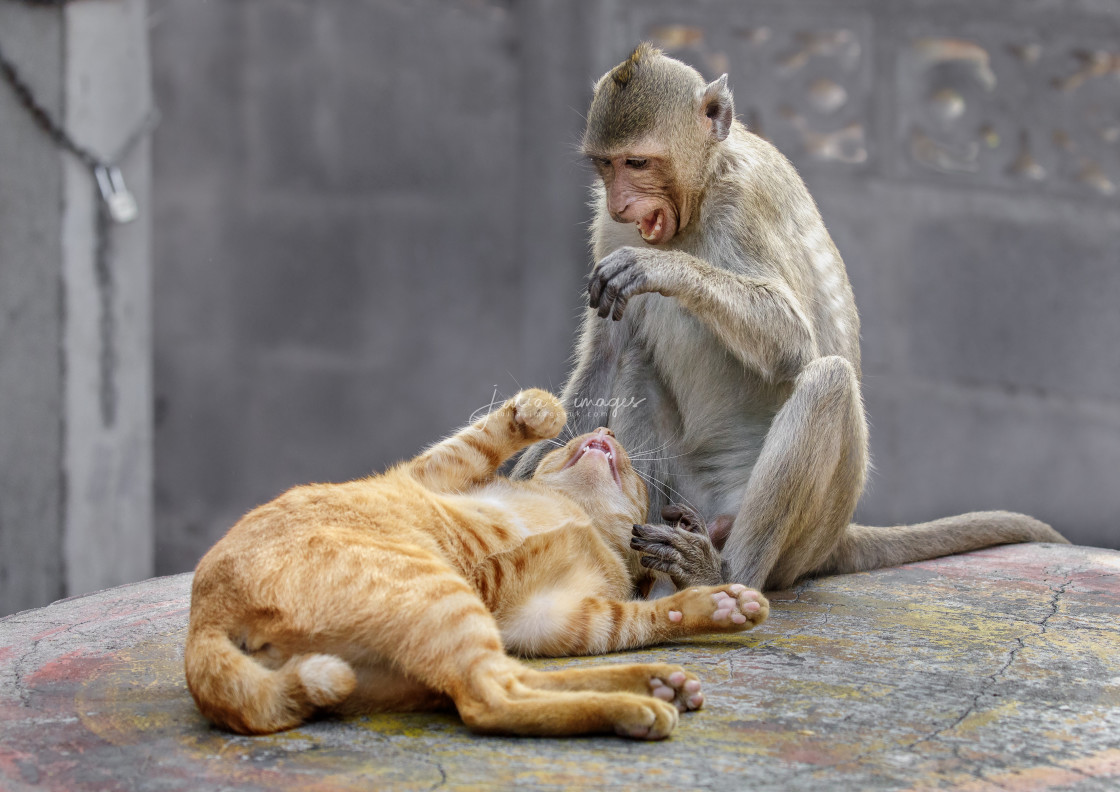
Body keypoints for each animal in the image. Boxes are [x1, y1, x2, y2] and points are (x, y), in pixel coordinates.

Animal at [185, 387, 770, 739]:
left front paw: (718, 606)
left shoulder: (550, 619)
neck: (576, 513)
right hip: (441, 596)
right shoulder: (435, 471)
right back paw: (640, 703)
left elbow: (641, 617)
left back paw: (654, 685)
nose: (605, 433)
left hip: (448, 625)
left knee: (500, 689)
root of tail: (205, 624)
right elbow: (487, 435)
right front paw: (539, 411)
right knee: (489, 699)